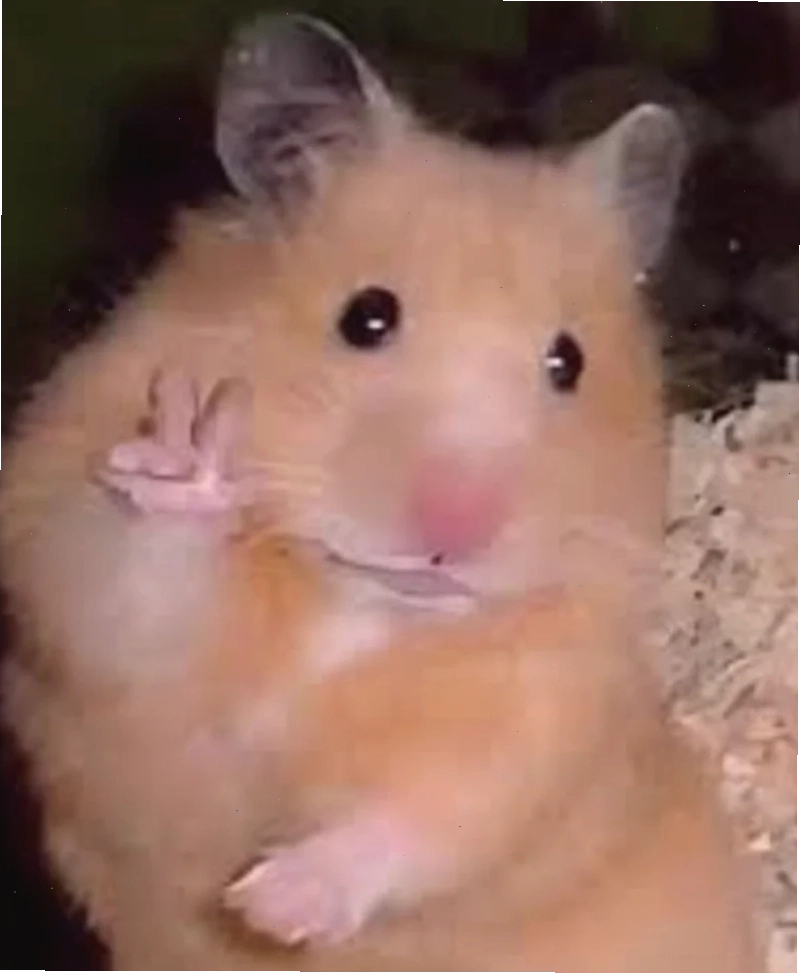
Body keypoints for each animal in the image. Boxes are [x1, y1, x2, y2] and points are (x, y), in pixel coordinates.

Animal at [0, 13, 763, 973]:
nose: (458, 526)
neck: (360, 605)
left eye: (569, 362)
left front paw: (270, 905)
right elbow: (133, 583)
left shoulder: (546, 709)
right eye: (366, 316)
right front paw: (192, 450)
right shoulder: (67, 561)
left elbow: (437, 812)